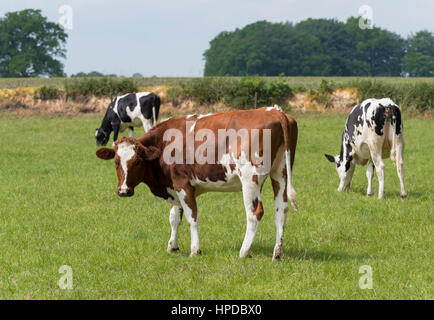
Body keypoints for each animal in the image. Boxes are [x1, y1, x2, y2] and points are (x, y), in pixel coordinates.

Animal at [95, 105, 298, 260]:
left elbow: (191, 217)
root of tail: (273, 111)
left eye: (137, 161)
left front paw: (195, 250)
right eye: (116, 162)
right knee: (281, 210)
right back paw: (277, 253)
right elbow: (174, 218)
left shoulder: (183, 184)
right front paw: (172, 246)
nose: (123, 191)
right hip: (280, 173)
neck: (165, 143)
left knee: (255, 213)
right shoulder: (174, 186)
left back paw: (244, 252)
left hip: (250, 178)